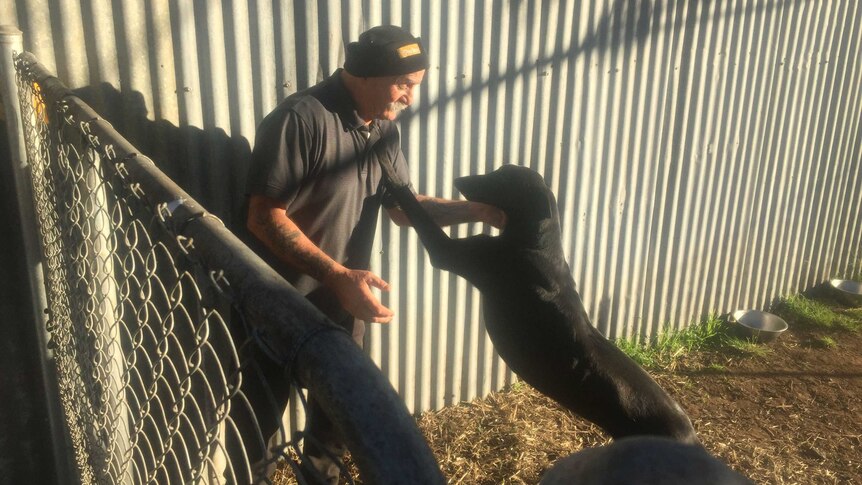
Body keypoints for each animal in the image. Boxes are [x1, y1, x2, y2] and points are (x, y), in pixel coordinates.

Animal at [382, 162, 700, 442]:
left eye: (503, 179)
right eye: (499, 170)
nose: (459, 179)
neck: (537, 244)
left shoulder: (451, 254)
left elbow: (417, 211)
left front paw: (391, 176)